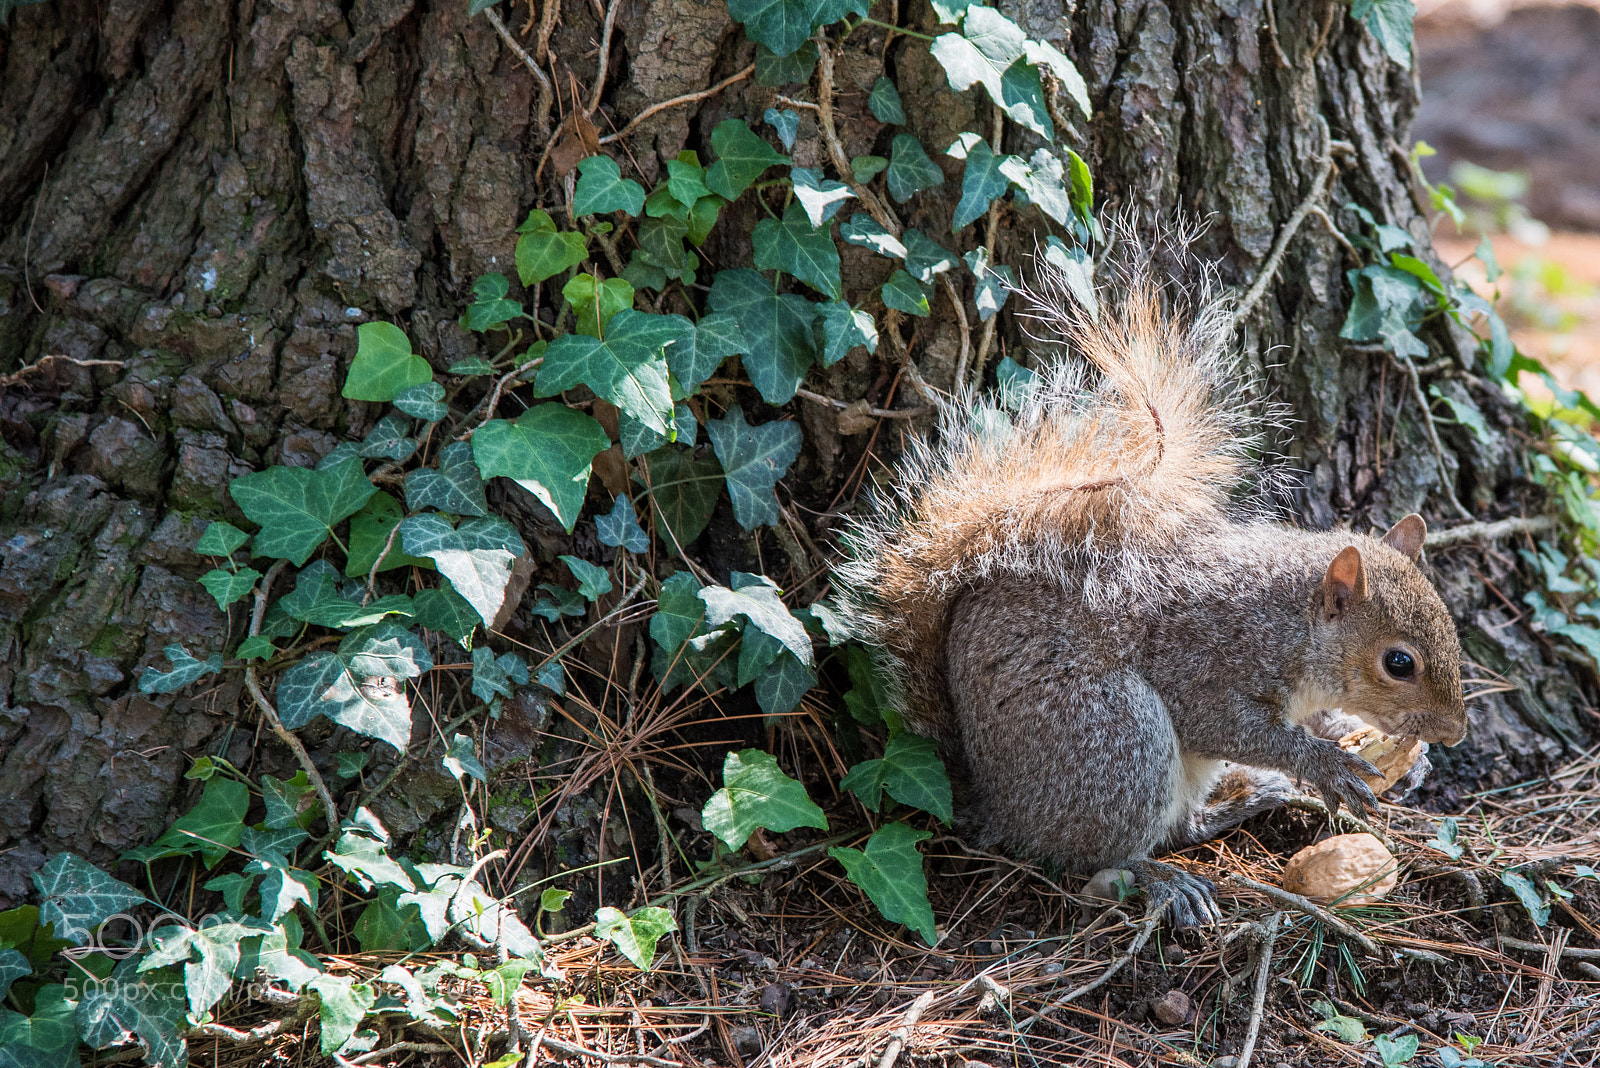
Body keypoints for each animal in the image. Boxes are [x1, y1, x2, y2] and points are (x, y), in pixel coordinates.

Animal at [835, 252, 1469, 926]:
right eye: (1398, 663)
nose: (1455, 732)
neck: (1291, 622)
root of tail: (997, 805)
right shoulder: (1209, 657)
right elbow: (1230, 725)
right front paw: (1323, 763)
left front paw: (1407, 758)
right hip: (1114, 736)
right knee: (1100, 852)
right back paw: (1163, 879)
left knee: (1182, 826)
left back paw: (1245, 802)